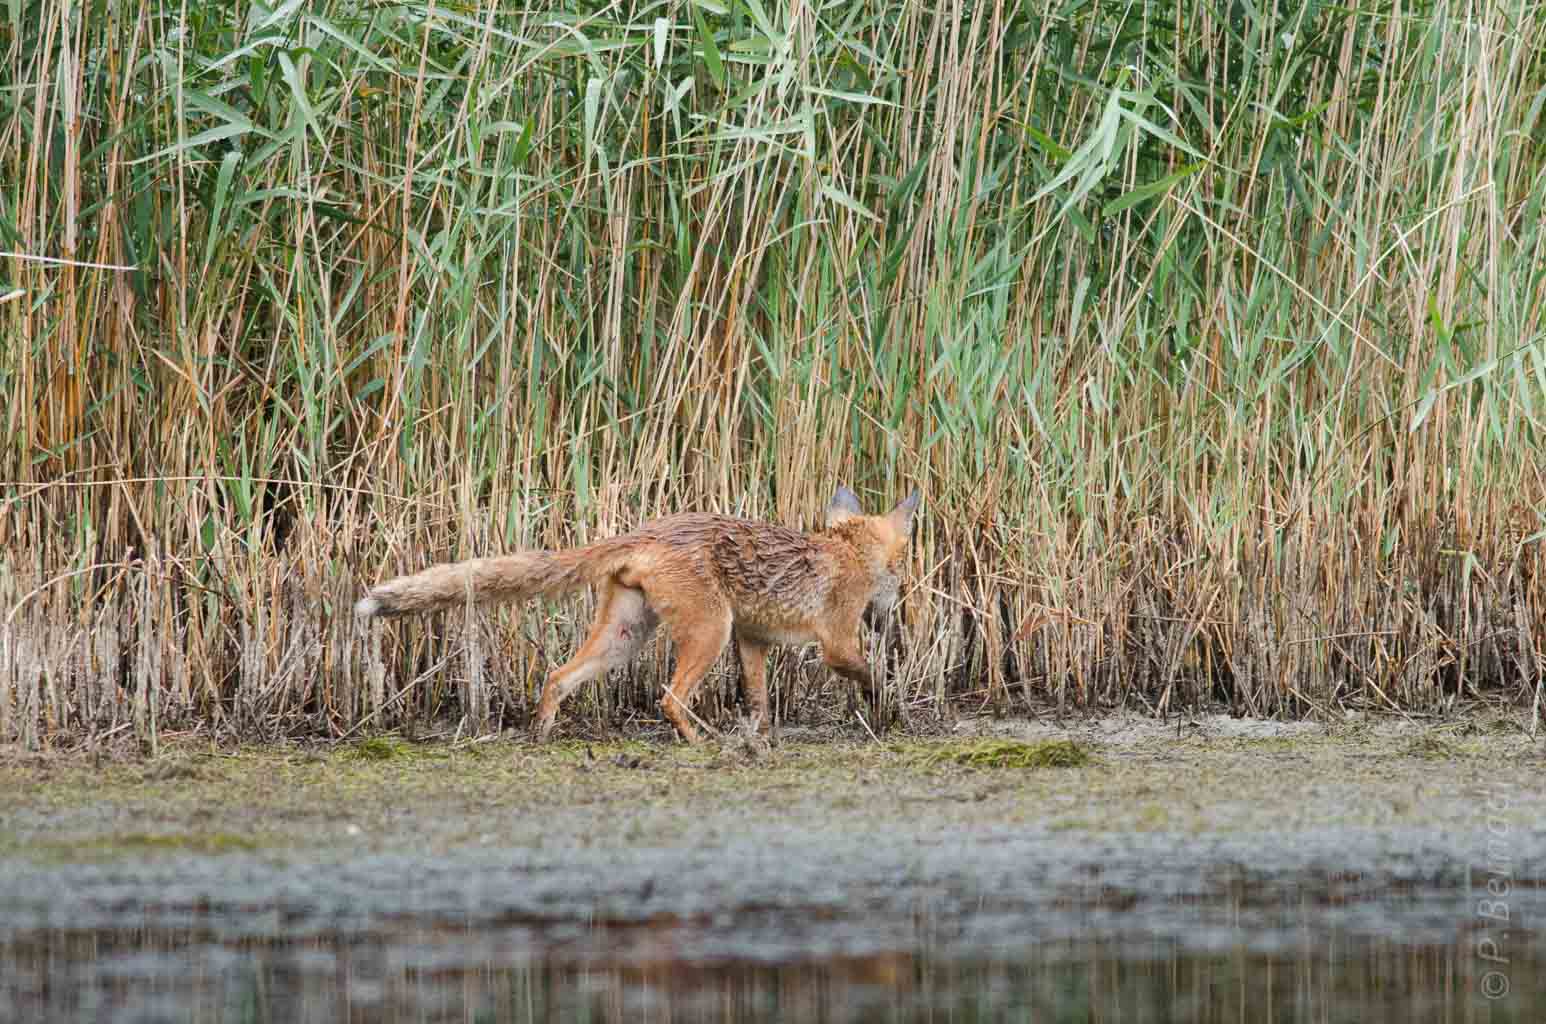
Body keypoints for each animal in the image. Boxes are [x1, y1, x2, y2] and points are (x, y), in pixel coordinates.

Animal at [355, 487, 920, 743]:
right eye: (900, 580)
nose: (887, 620)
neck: (849, 552)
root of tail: (647, 530)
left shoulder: (753, 640)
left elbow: (758, 703)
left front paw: (759, 739)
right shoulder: (835, 640)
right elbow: (866, 672)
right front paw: (889, 707)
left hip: (625, 637)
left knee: (557, 676)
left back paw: (541, 733)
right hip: (709, 631)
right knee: (669, 698)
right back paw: (699, 741)